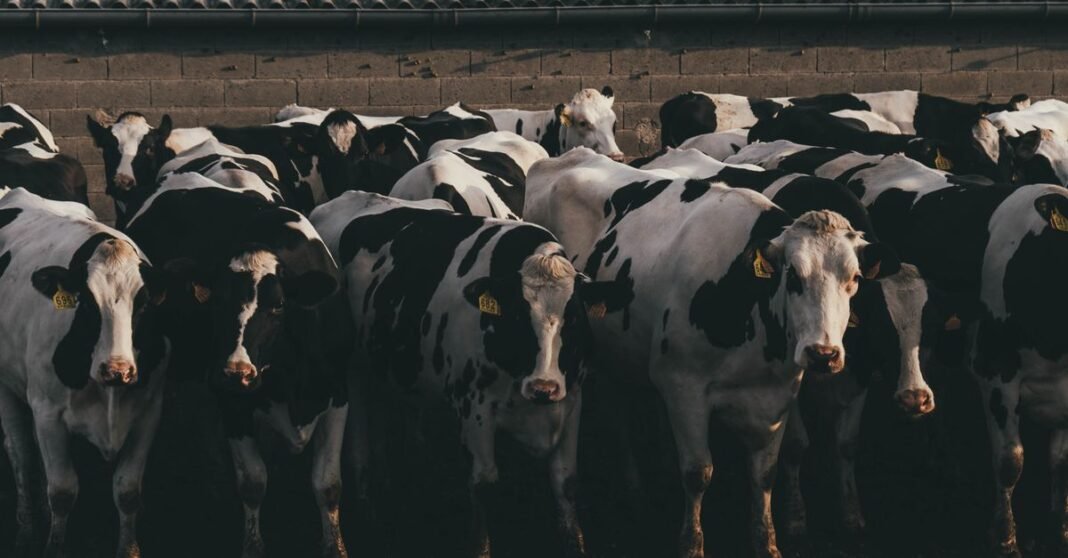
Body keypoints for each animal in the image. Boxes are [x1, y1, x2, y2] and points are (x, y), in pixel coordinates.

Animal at [0, 187, 170, 558]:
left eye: (144, 304)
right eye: (88, 303)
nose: (117, 369)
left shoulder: (150, 411)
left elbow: (127, 490)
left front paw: (128, 548)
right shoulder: (47, 414)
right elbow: (62, 492)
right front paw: (54, 546)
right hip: (7, 390)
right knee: (20, 454)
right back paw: (25, 527)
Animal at [123, 174, 349, 558]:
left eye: (278, 306)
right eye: (215, 302)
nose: (235, 372)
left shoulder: (338, 392)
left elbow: (327, 484)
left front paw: (334, 546)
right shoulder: (233, 404)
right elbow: (253, 483)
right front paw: (252, 545)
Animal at [310, 191, 621, 558]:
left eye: (573, 318)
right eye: (518, 315)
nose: (542, 387)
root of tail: (348, 196)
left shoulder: (571, 399)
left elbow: (567, 482)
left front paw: (576, 544)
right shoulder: (474, 407)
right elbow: (483, 486)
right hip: (352, 369)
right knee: (358, 440)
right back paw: (368, 507)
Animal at [525, 147, 899, 558]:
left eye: (855, 279)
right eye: (793, 275)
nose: (823, 353)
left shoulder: (777, 396)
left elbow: (764, 474)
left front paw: (767, 543)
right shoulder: (682, 387)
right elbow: (697, 473)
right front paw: (691, 544)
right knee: (618, 419)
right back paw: (634, 487)